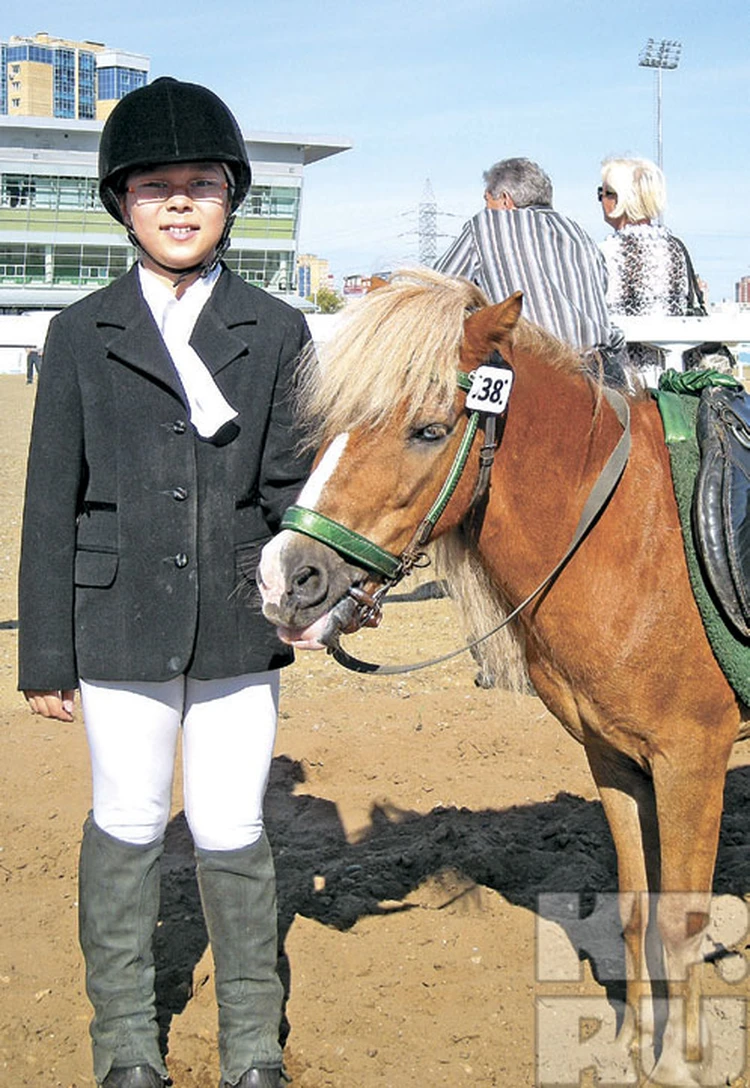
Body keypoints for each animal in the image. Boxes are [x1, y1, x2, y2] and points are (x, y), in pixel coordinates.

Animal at [255, 267, 744, 1083]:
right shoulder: (614, 759)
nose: (287, 578)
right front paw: (636, 1047)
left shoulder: (692, 760)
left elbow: (683, 919)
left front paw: (683, 1063)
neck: (634, 537)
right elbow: (636, 904)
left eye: (428, 429)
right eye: (330, 423)